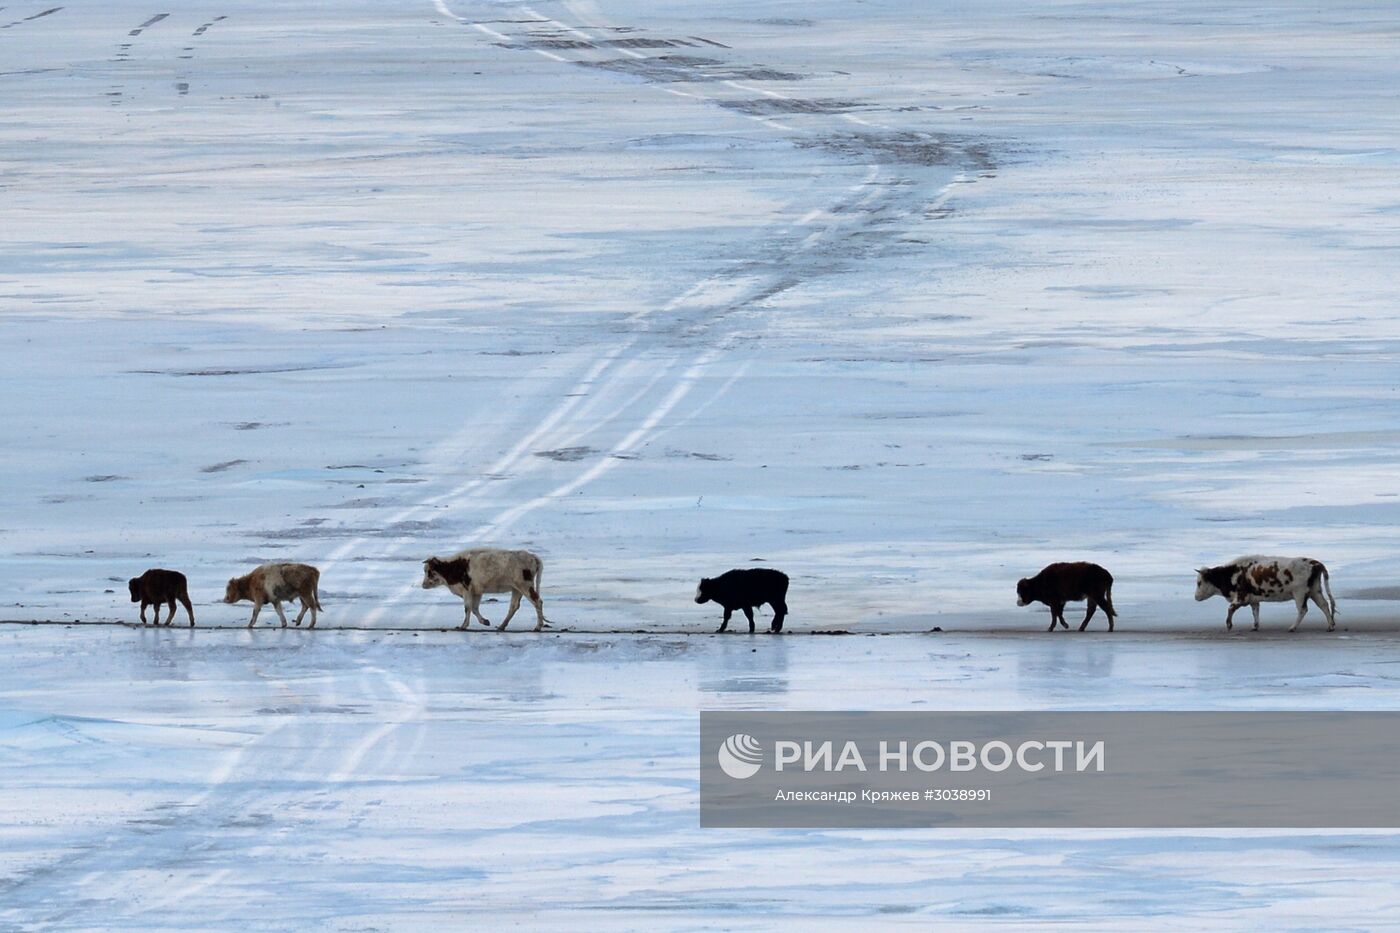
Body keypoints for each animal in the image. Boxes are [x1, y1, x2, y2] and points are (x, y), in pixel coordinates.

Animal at [1192, 551, 1332, 633]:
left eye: (1199, 582)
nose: (1195, 597)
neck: (1233, 573)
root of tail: (1315, 563)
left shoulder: (1241, 597)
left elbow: (1230, 608)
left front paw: (1229, 625)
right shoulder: (1253, 599)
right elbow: (1255, 611)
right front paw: (1255, 626)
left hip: (1300, 593)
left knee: (1303, 610)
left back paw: (1292, 627)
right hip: (1315, 591)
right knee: (1324, 605)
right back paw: (1330, 626)